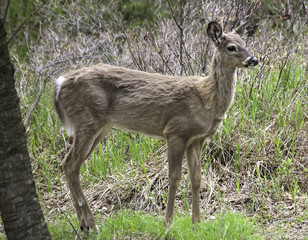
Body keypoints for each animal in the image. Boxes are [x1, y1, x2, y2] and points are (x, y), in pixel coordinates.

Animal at [53, 20, 260, 231]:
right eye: (231, 47)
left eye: (245, 42)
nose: (254, 60)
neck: (206, 99)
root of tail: (60, 83)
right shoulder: (176, 131)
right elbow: (174, 177)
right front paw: (168, 222)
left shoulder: (197, 139)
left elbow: (196, 178)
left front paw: (196, 222)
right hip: (87, 120)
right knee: (70, 164)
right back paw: (91, 224)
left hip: (102, 127)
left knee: (70, 165)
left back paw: (84, 225)